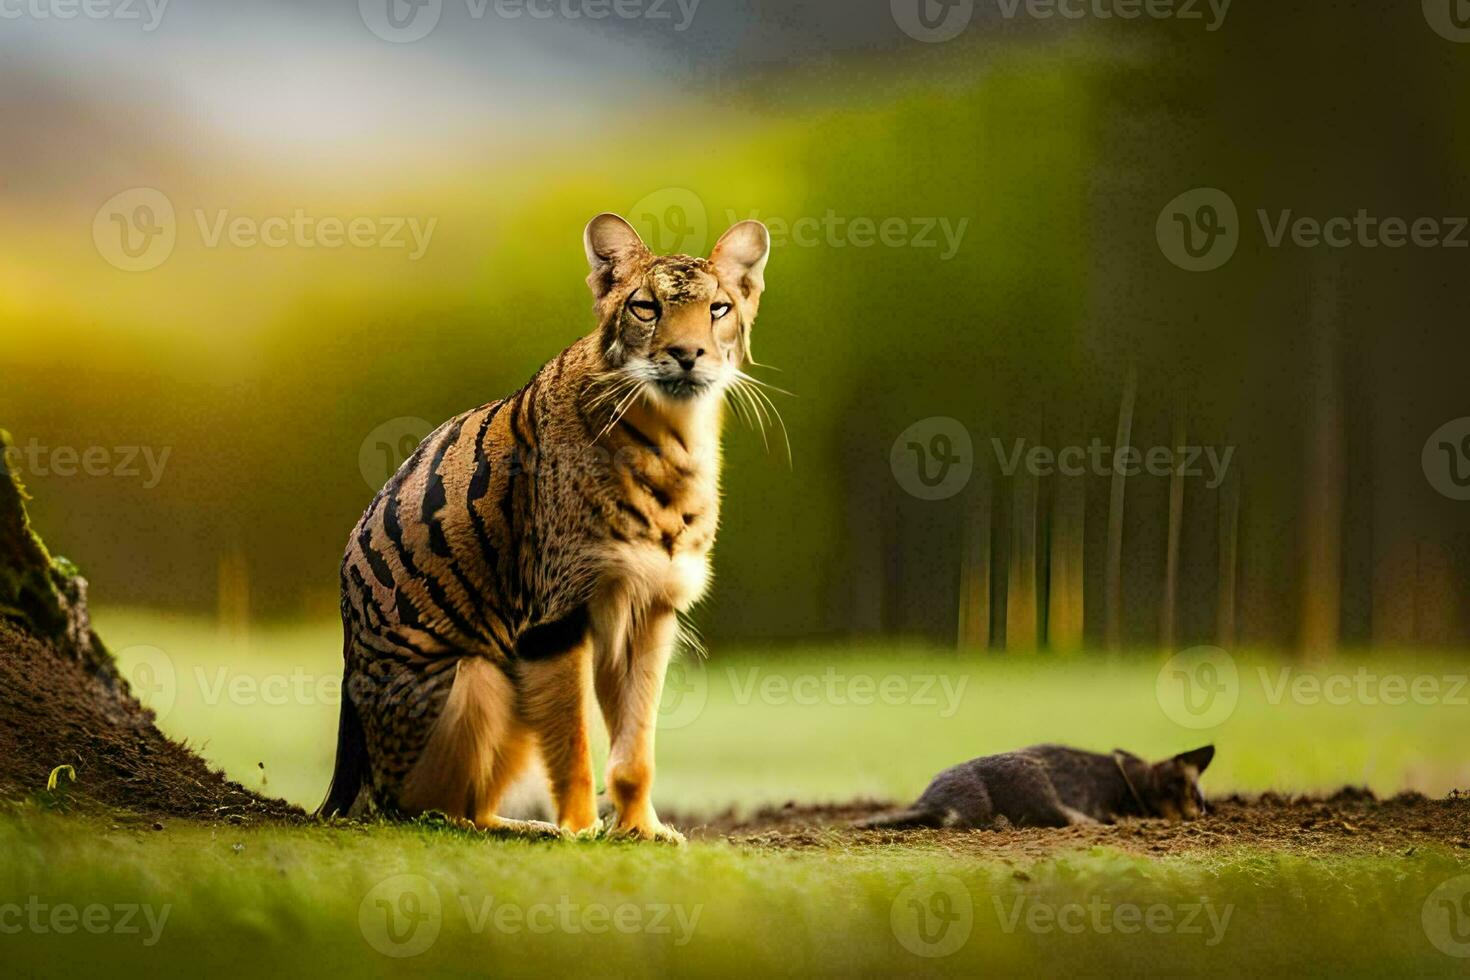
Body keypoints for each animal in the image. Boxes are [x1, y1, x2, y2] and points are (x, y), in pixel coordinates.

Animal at [320, 214, 776, 846]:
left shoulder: (650, 610)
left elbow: (635, 745)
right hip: (479, 674)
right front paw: (581, 833)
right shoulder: (554, 618)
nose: (687, 354)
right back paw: (531, 829)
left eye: (719, 308)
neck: (672, 441)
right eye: (645, 307)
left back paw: (526, 826)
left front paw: (642, 831)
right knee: (417, 809)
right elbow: (573, 743)